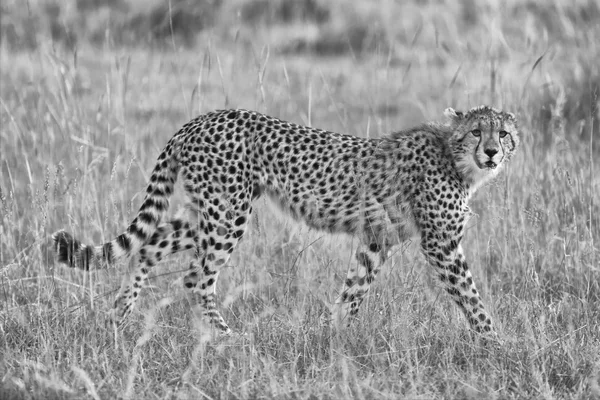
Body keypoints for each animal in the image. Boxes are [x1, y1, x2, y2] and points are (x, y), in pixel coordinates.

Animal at [54, 105, 516, 334]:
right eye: (477, 132)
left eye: (503, 133)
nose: (493, 151)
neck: (457, 159)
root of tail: (201, 118)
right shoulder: (441, 245)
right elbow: (472, 298)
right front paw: (495, 343)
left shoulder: (376, 239)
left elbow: (353, 291)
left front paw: (334, 339)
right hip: (228, 214)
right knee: (195, 276)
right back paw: (226, 336)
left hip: (207, 211)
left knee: (149, 245)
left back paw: (119, 316)